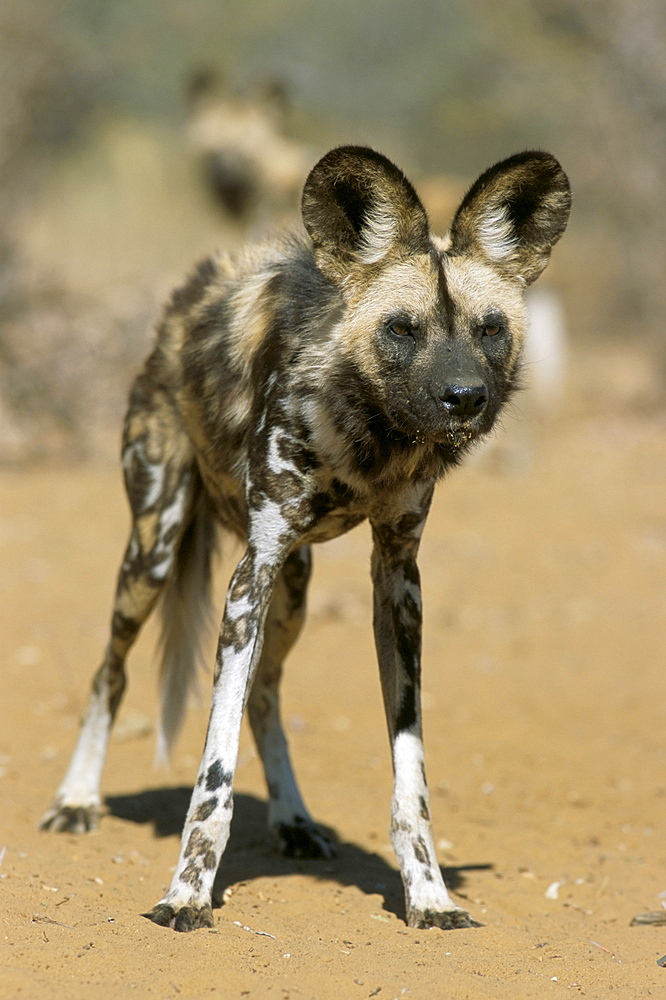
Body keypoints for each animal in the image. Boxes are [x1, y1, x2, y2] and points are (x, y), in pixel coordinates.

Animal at [41, 146, 572, 928]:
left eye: (490, 329)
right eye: (402, 329)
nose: (466, 398)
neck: (374, 435)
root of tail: (183, 301)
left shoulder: (397, 580)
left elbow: (409, 772)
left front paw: (428, 893)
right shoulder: (250, 575)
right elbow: (215, 769)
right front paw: (187, 892)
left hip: (294, 588)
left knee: (265, 694)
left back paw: (292, 819)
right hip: (157, 553)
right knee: (110, 672)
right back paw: (76, 799)